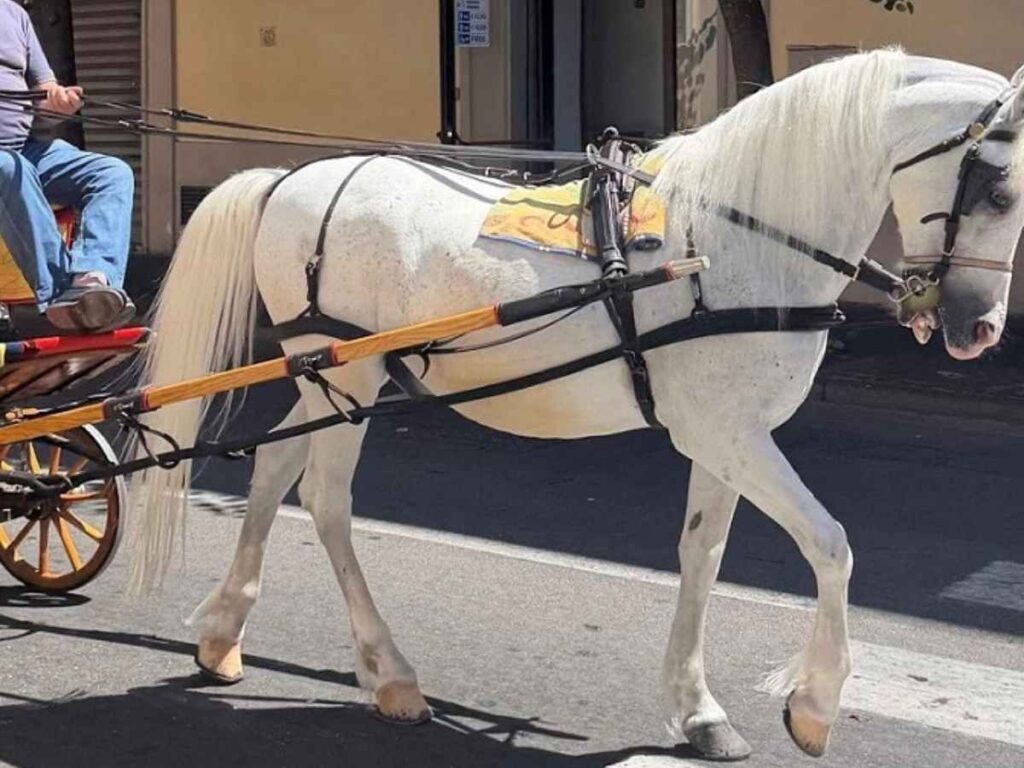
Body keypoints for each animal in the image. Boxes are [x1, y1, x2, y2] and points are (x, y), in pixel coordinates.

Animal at [127, 50, 1024, 761]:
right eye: (1002, 191)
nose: (978, 329)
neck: (733, 239)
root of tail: (291, 178)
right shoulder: (728, 434)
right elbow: (832, 547)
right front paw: (813, 704)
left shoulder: (726, 437)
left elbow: (703, 555)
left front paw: (697, 711)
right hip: (350, 376)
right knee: (326, 500)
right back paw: (390, 673)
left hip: (330, 377)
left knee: (276, 465)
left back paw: (224, 633)